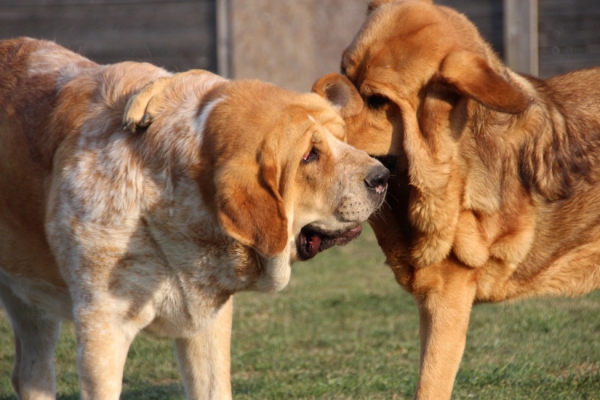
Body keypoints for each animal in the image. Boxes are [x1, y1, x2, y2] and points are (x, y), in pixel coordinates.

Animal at [0, 38, 390, 400]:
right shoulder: (102, 327)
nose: (383, 177)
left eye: (342, 139)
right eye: (309, 155)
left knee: (30, 376)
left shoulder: (208, 325)